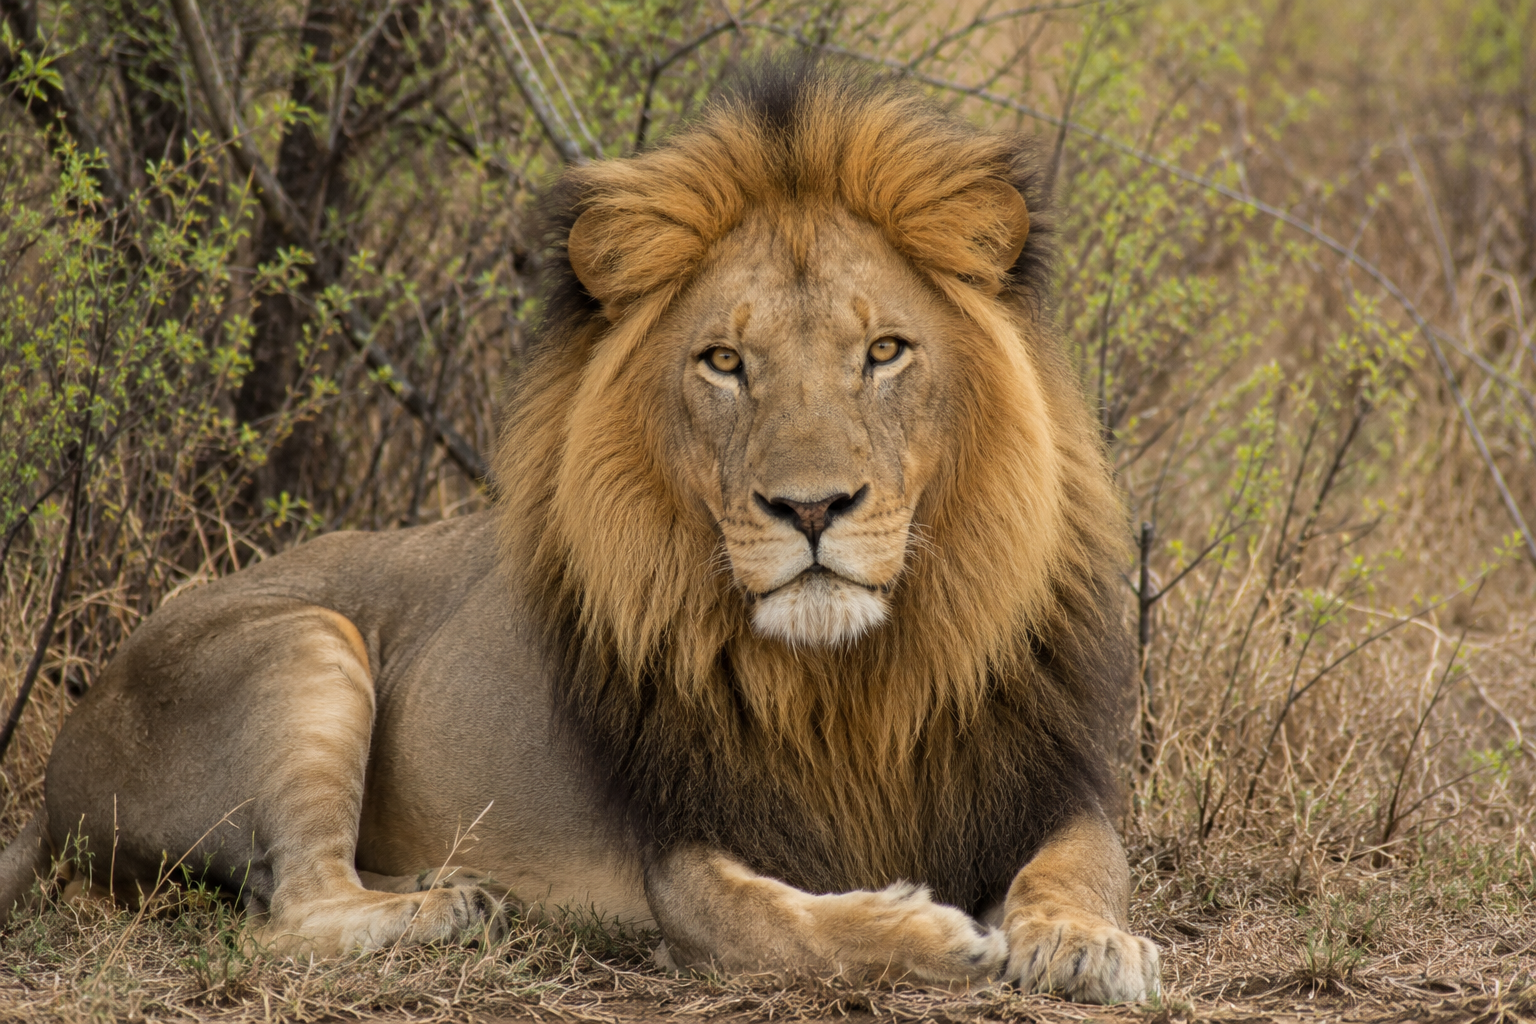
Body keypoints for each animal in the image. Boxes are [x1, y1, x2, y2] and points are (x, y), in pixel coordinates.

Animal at [0, 63, 1160, 1002]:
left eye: (884, 352)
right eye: (725, 363)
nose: (811, 508)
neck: (852, 685)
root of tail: (57, 774)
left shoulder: (1039, 779)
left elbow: (1086, 862)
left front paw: (1085, 942)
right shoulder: (684, 847)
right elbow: (777, 926)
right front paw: (934, 934)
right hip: (305, 641)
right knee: (284, 917)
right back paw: (449, 906)